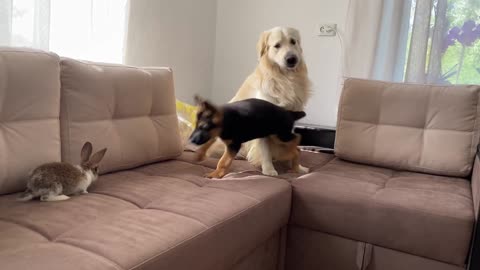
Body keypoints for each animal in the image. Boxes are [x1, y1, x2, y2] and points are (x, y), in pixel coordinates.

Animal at [207, 26, 312, 176]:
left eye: (293, 42)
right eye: (277, 45)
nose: (292, 59)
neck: (284, 79)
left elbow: (291, 146)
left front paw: (297, 166)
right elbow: (266, 150)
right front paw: (269, 169)